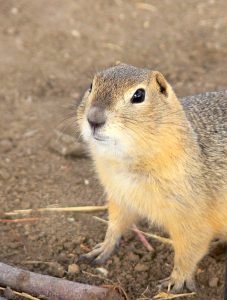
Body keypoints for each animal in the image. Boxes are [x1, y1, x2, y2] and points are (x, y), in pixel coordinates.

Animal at [76, 64, 227, 292]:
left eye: (139, 95)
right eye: (91, 85)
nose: (94, 119)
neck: (125, 164)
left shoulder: (192, 215)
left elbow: (189, 251)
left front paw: (175, 281)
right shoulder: (119, 196)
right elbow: (115, 224)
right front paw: (102, 248)